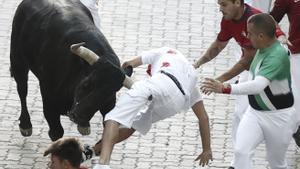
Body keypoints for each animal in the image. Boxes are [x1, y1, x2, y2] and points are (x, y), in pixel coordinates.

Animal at [10, 0, 131, 141]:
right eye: (86, 83)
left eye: (108, 93)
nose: (78, 116)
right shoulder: (48, 99)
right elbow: (56, 132)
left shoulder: (109, 105)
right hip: (18, 61)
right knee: (22, 90)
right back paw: (25, 125)